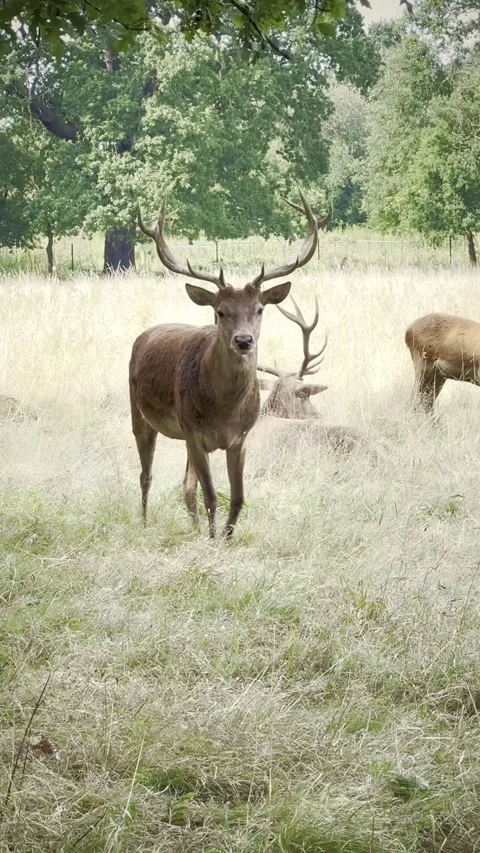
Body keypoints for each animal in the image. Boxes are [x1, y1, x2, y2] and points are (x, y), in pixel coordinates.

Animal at [129, 193, 325, 539]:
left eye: (259, 309)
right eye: (220, 311)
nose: (244, 340)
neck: (224, 409)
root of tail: (145, 334)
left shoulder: (239, 438)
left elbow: (237, 497)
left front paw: (225, 539)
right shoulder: (194, 432)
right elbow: (210, 497)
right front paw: (213, 540)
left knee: (185, 486)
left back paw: (193, 530)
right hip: (141, 416)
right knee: (146, 476)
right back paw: (144, 523)